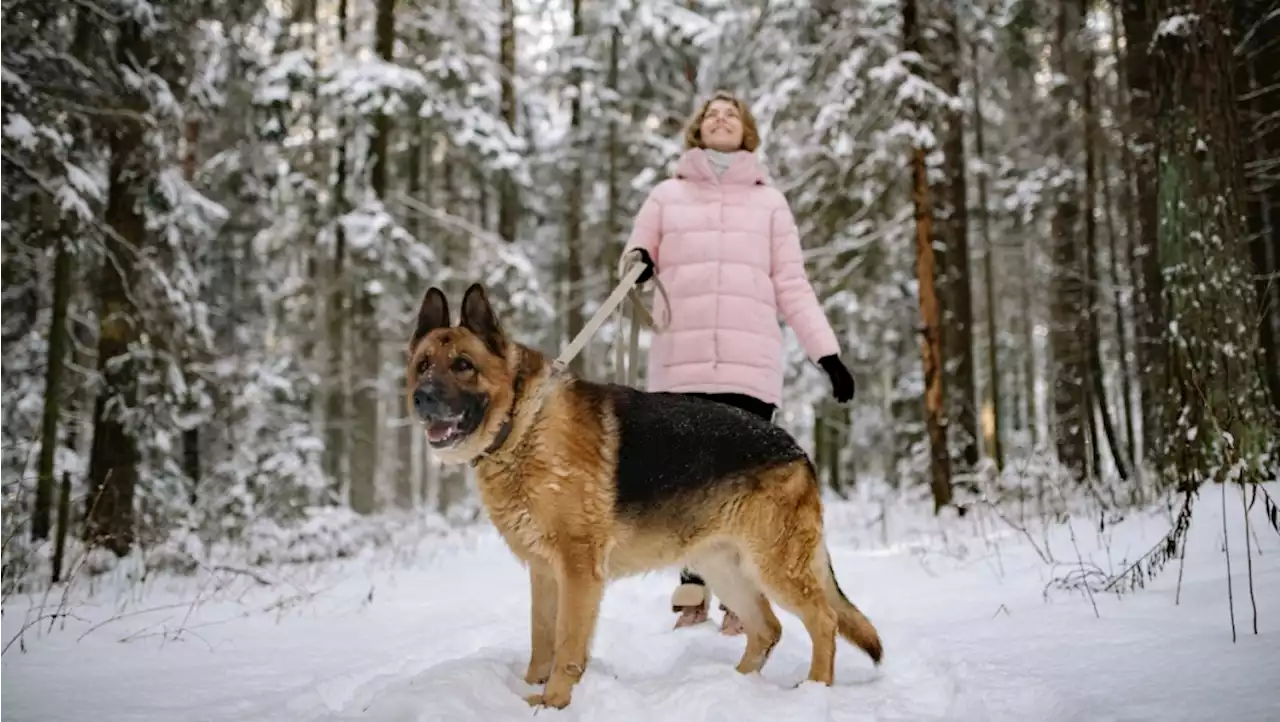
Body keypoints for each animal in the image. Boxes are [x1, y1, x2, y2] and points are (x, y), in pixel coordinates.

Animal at [407, 282, 880, 711]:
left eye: (463, 365)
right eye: (423, 364)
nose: (421, 398)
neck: (522, 425)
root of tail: (798, 450)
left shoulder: (578, 572)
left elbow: (567, 646)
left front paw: (555, 702)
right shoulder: (543, 572)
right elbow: (542, 641)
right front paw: (530, 692)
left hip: (775, 566)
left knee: (824, 620)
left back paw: (815, 689)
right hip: (722, 566)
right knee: (768, 628)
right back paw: (734, 685)